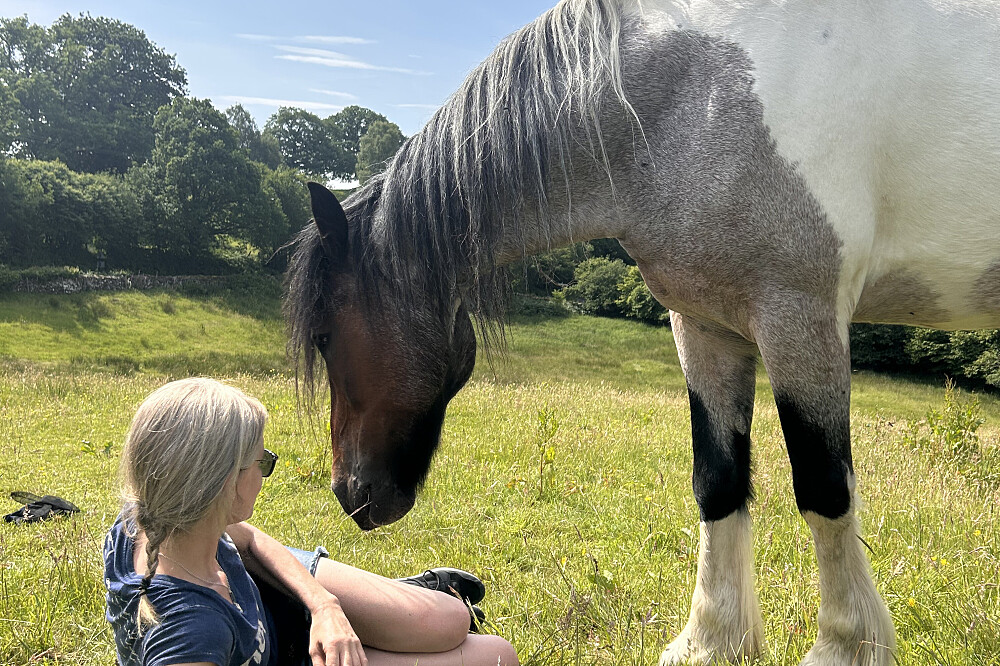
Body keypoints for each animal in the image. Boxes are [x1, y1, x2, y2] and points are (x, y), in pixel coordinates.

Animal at [284, 1, 1000, 664]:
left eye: (324, 336)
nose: (349, 494)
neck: (691, 96)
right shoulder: (706, 325)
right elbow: (718, 482)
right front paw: (712, 641)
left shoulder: (800, 317)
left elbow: (823, 486)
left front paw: (845, 646)